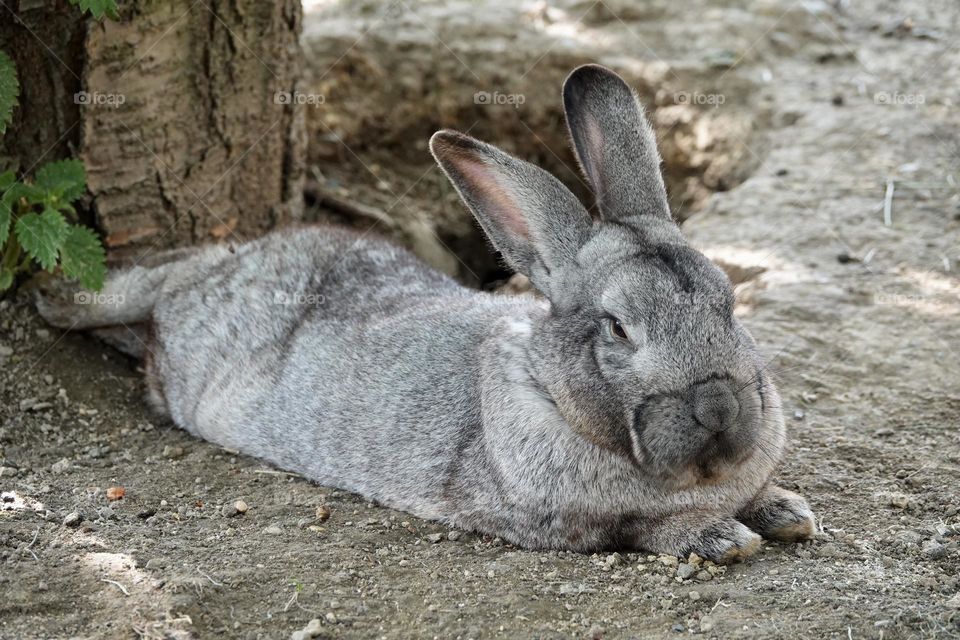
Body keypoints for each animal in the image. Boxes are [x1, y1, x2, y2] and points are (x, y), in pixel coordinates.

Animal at [41, 65, 812, 560]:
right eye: (619, 328)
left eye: (729, 301)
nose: (720, 407)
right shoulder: (552, 520)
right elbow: (637, 531)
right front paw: (724, 538)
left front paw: (788, 513)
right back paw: (59, 300)